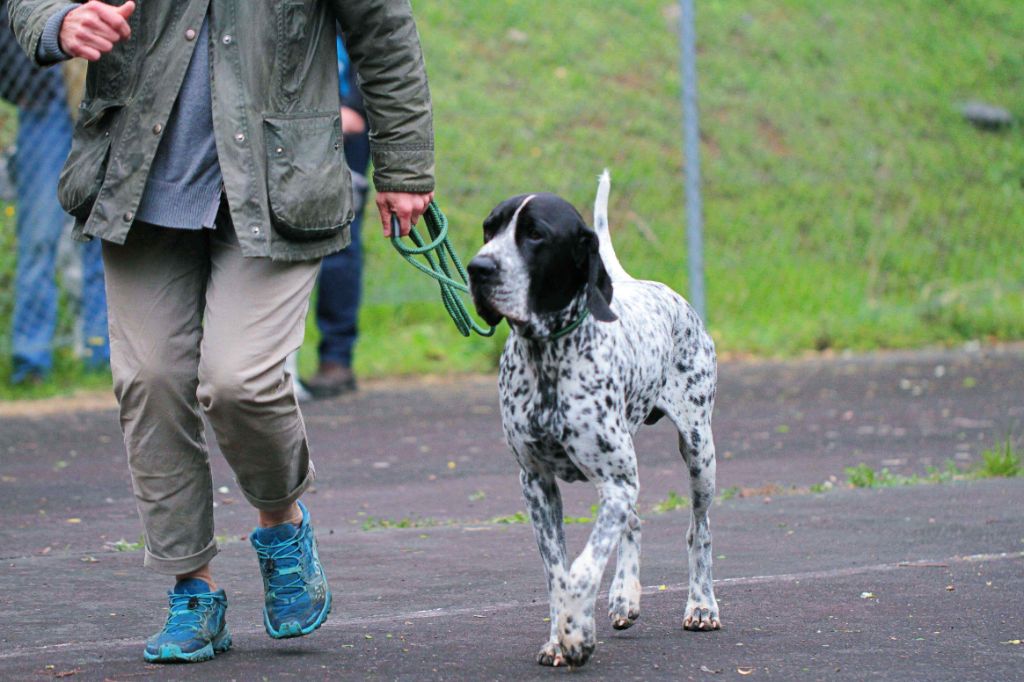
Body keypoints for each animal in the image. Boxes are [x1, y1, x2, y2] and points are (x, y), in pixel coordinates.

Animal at [466, 171, 720, 663]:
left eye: (535, 234)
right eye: (489, 229)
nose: (478, 268)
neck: (546, 357)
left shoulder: (616, 482)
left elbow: (583, 569)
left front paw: (577, 633)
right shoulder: (537, 485)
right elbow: (557, 573)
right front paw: (559, 636)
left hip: (700, 453)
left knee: (698, 531)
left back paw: (701, 604)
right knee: (634, 522)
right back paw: (624, 596)